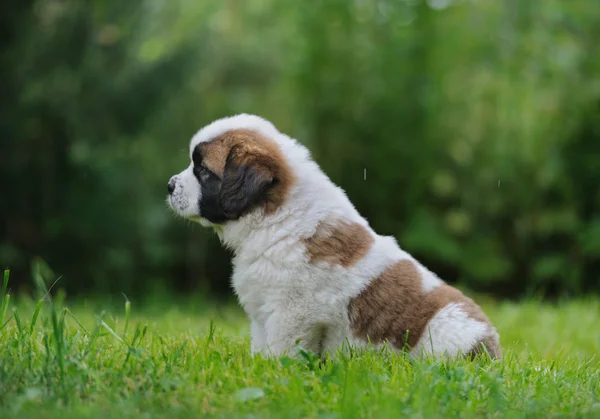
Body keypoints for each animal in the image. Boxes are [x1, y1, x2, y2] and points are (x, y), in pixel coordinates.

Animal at [169, 115, 502, 360]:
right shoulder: (264, 313)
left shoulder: (292, 314)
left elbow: (282, 351)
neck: (278, 217)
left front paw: (276, 374)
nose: (170, 185)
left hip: (443, 330)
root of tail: (491, 346)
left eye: (202, 170)